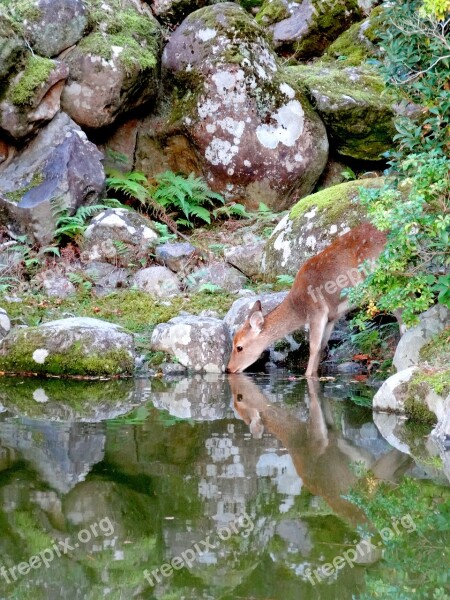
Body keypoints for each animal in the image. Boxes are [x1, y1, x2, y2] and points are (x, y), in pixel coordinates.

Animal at [227, 223, 392, 378]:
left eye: (239, 347)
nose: (228, 369)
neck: (299, 307)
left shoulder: (317, 311)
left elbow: (313, 348)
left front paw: (307, 376)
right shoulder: (332, 317)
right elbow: (322, 347)